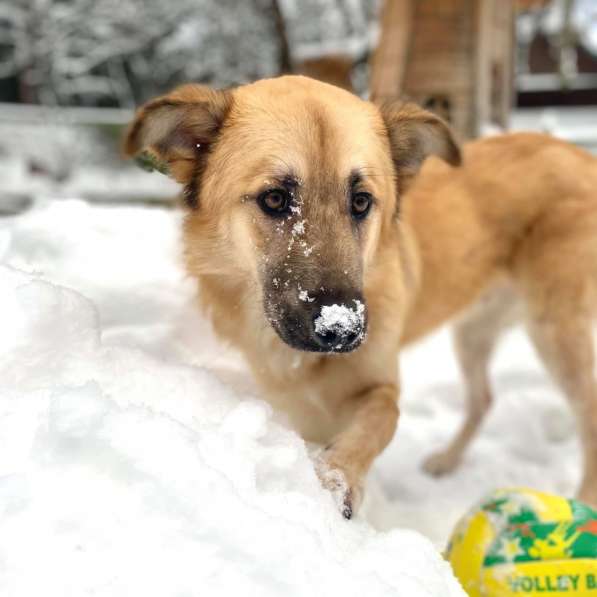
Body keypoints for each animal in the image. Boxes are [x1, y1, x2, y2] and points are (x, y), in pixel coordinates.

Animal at [123, 75, 596, 516]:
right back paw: (447, 461)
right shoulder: (300, 409)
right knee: (483, 399)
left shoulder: (380, 387)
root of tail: (580, 156)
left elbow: (373, 425)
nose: (342, 330)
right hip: (474, 333)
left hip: (555, 333)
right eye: (274, 198)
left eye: (362, 201)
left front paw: (339, 479)